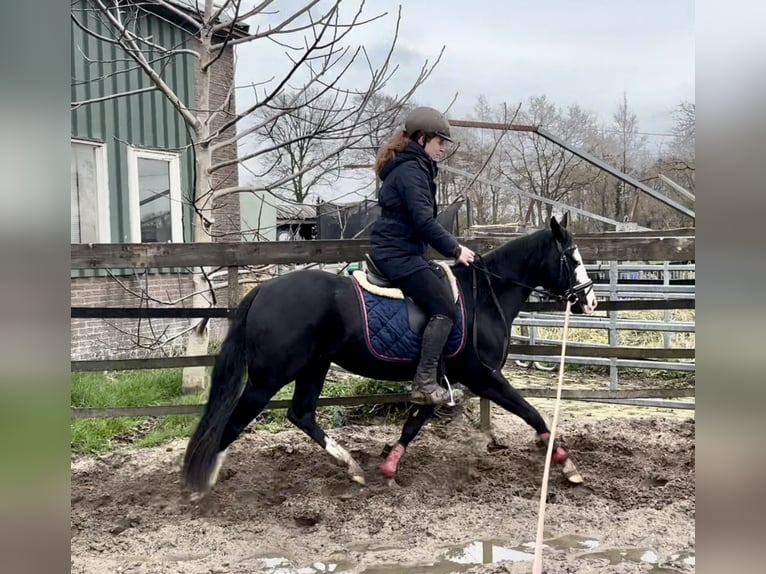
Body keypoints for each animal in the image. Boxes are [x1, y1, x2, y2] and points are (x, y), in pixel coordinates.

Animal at [182, 214, 598, 500]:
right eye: (572, 258)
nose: (590, 301)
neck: (482, 298)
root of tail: (263, 290)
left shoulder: (439, 381)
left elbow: (412, 425)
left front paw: (388, 466)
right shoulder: (483, 376)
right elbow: (533, 413)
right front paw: (568, 466)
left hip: (314, 366)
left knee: (300, 414)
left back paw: (352, 468)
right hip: (269, 376)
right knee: (235, 420)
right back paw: (203, 486)